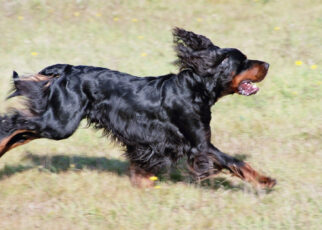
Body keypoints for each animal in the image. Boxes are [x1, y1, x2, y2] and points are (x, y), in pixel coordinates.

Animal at [0, 27, 276, 189]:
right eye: (243, 61)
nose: (268, 64)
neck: (195, 88)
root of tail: (65, 70)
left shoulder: (152, 141)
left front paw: (142, 182)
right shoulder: (199, 144)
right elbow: (235, 161)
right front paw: (265, 180)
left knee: (23, 133)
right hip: (60, 123)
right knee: (15, 123)